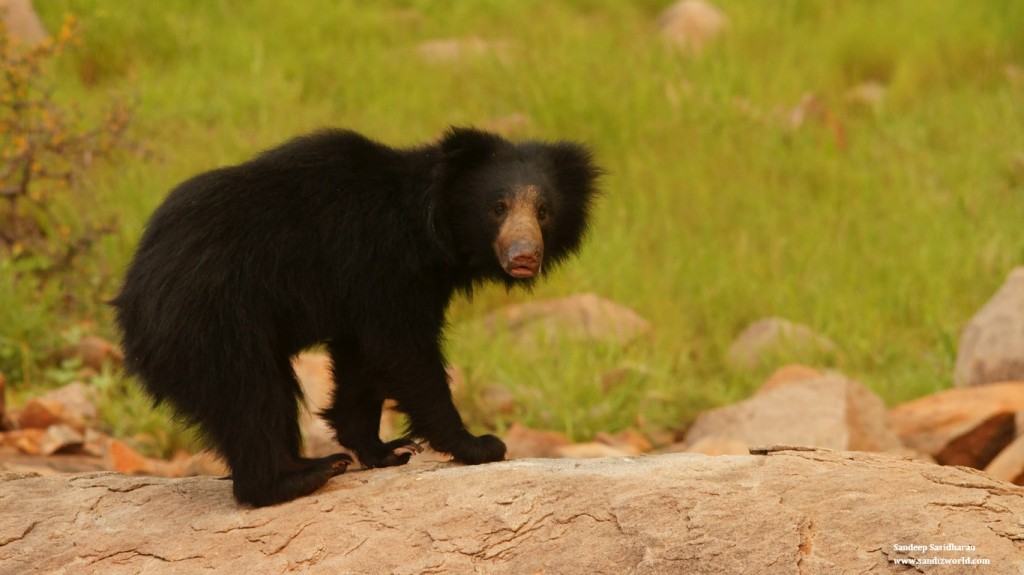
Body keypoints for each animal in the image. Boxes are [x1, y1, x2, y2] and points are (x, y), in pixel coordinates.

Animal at [114, 127, 598, 503]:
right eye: (498, 207)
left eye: (544, 211)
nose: (525, 257)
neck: (431, 230)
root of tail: (130, 298)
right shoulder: (381, 263)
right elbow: (403, 351)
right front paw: (478, 444)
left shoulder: (366, 295)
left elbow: (362, 362)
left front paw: (386, 449)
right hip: (212, 318)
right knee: (250, 393)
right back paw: (298, 476)